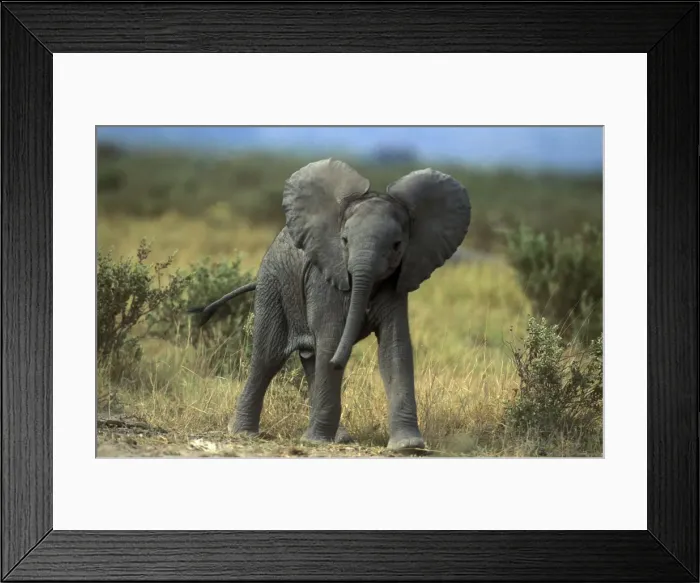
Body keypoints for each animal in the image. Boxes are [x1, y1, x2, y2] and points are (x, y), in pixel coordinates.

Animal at [189, 158, 471, 452]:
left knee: (310, 359)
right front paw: (315, 442)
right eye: (344, 241)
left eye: (397, 246)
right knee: (269, 356)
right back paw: (244, 433)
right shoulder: (325, 278)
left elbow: (395, 347)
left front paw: (409, 447)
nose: (340, 360)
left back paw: (338, 436)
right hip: (273, 285)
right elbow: (330, 337)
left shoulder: (398, 282)